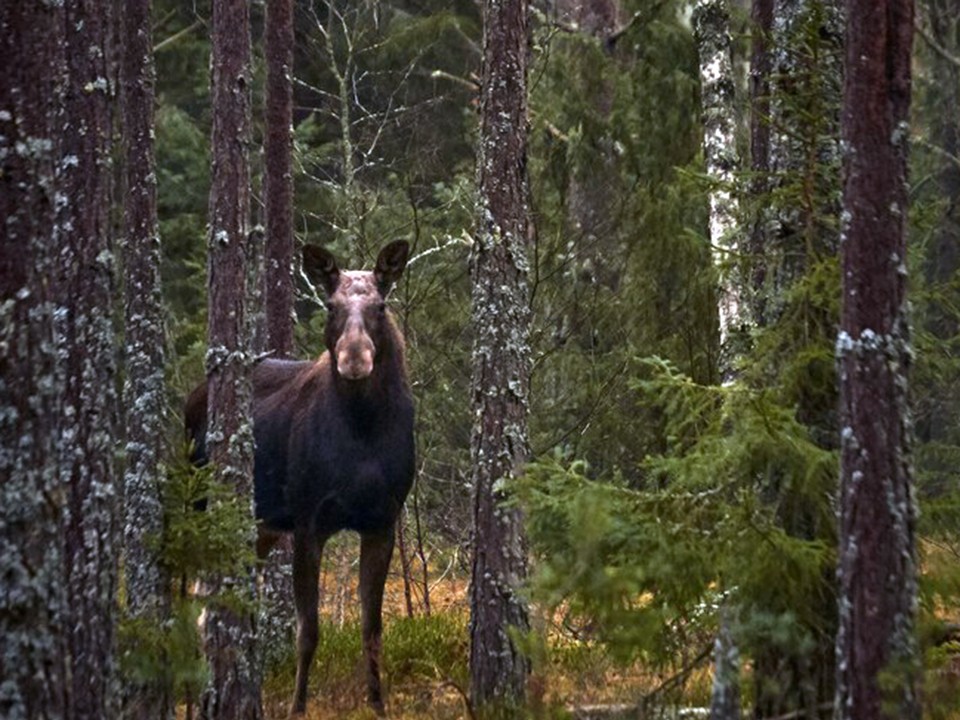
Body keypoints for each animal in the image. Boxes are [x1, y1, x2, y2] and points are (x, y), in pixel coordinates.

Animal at [186, 240, 414, 716]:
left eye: (381, 305)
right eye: (330, 305)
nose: (354, 358)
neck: (363, 432)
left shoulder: (382, 522)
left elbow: (373, 628)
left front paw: (378, 704)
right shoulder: (309, 522)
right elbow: (308, 631)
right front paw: (297, 707)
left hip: (259, 527)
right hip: (201, 506)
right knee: (199, 605)